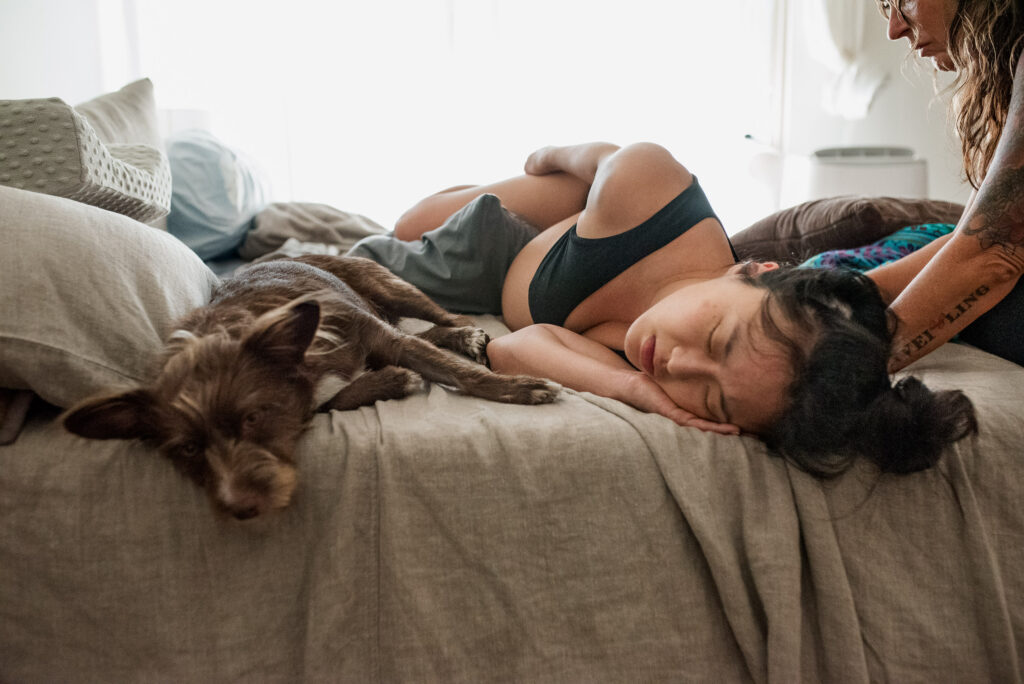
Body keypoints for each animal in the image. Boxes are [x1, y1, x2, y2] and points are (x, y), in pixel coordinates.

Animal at [64, 254, 561, 518]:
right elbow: (337, 397)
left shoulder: (378, 336)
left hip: (390, 287)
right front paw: (388, 381)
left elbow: (458, 373)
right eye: (186, 449)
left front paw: (518, 387)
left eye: (253, 417)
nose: (241, 507)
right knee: (427, 333)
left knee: (445, 318)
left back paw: (468, 336)